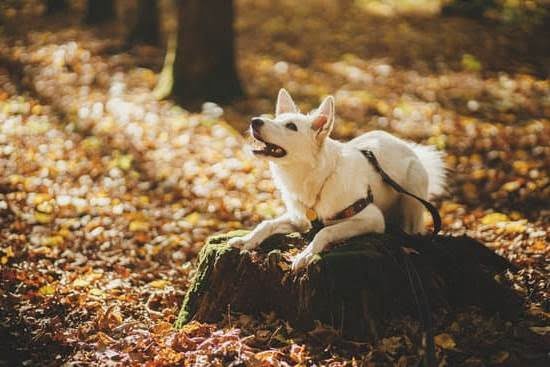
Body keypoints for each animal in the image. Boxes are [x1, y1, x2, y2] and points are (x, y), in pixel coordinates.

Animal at [230, 89, 448, 272]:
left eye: (291, 126)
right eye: (277, 119)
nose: (255, 121)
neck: (320, 177)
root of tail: (407, 146)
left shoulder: (372, 218)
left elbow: (325, 232)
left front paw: (306, 254)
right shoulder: (299, 218)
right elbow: (266, 224)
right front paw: (247, 239)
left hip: (413, 189)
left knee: (413, 228)